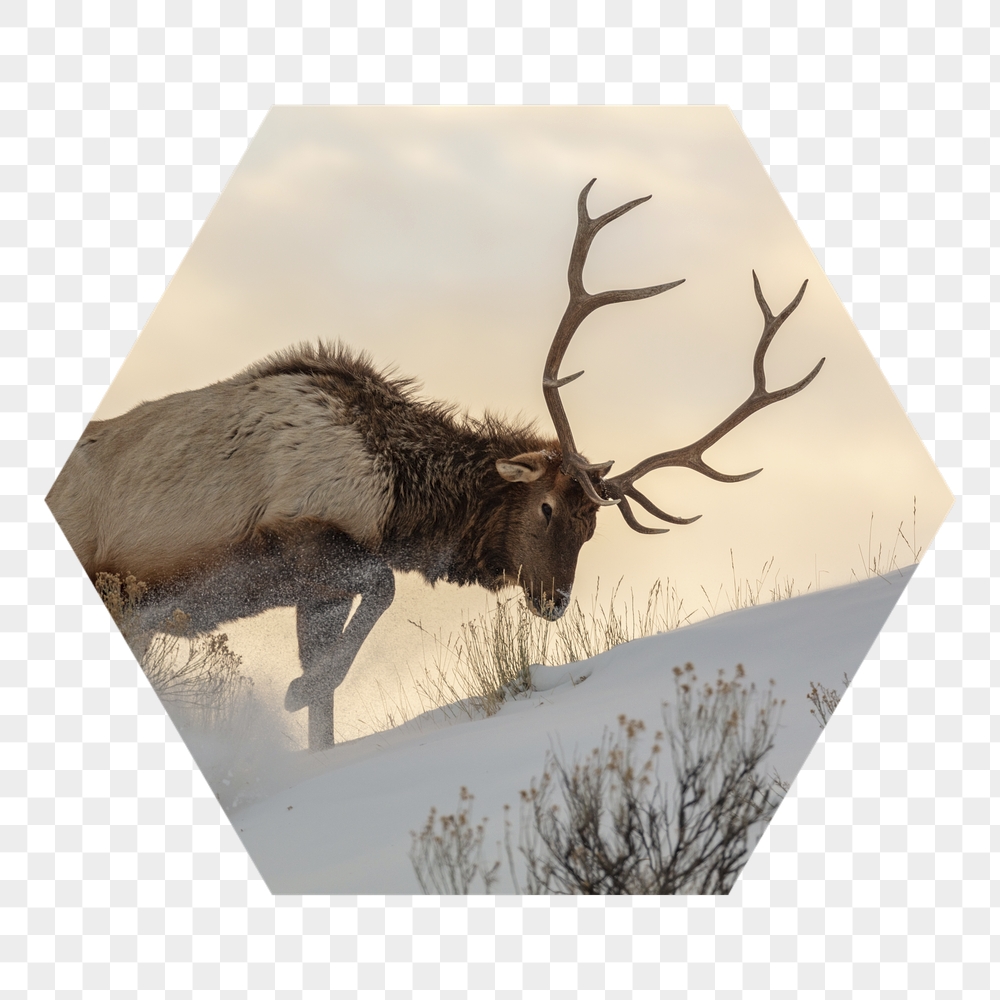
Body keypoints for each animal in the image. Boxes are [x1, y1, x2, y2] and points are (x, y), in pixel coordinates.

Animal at [46, 179, 824, 750]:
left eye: (592, 526)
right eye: (546, 506)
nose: (554, 600)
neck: (399, 500)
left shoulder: (312, 589)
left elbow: (330, 696)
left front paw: (310, 713)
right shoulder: (297, 540)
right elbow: (381, 592)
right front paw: (296, 691)